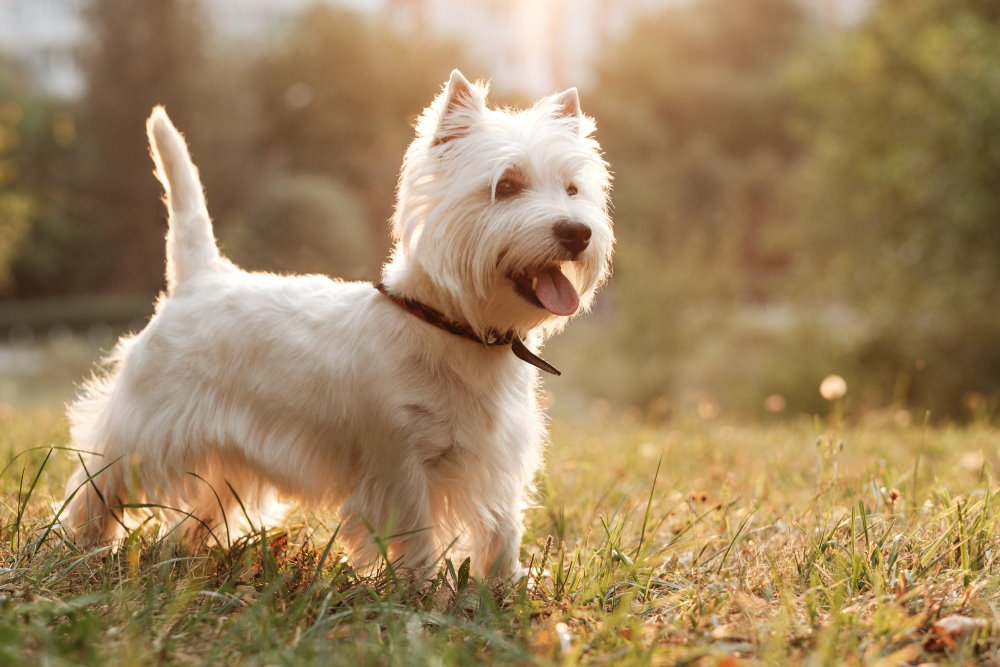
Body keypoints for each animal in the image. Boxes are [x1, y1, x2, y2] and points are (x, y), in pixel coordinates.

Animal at [62, 69, 612, 580]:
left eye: (572, 189)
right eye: (507, 185)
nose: (577, 232)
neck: (456, 327)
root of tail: (199, 277)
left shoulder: (499, 458)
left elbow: (502, 529)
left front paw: (506, 587)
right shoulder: (399, 461)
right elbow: (416, 533)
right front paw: (421, 591)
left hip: (227, 451)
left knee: (204, 504)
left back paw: (192, 553)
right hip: (145, 425)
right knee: (99, 482)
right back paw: (81, 548)